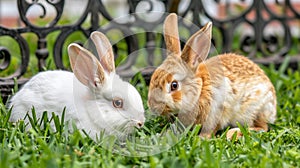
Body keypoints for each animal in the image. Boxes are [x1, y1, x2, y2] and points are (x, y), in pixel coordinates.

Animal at [148, 13, 276, 139]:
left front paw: (202, 138)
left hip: (255, 110)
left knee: (263, 127)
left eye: (174, 85)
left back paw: (232, 133)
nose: (153, 107)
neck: (200, 90)